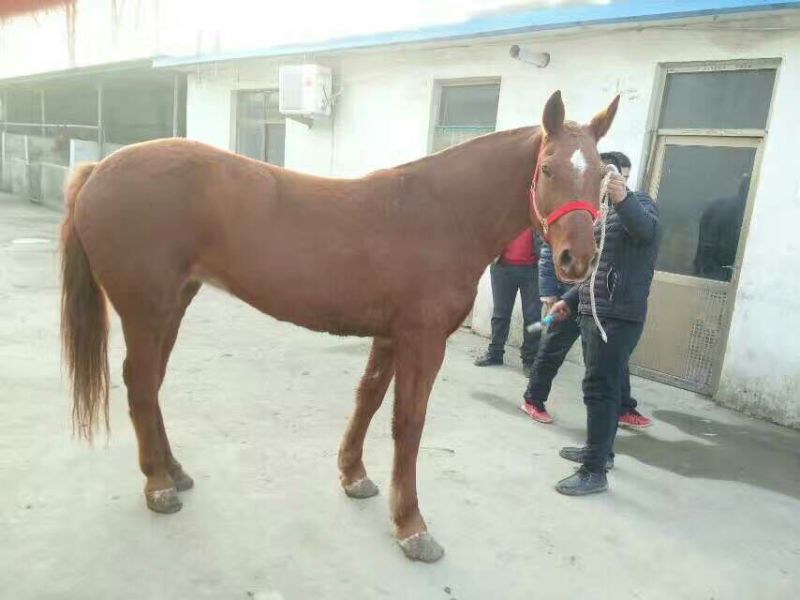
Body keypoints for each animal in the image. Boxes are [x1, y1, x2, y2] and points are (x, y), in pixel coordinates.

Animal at [60, 90, 619, 562]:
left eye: (600, 177)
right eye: (547, 168)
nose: (575, 260)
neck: (441, 215)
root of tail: (98, 168)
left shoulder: (391, 335)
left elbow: (368, 399)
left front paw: (354, 477)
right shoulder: (422, 341)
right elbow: (408, 424)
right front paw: (411, 526)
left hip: (174, 303)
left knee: (150, 384)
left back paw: (173, 472)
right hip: (146, 308)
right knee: (139, 383)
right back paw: (158, 485)